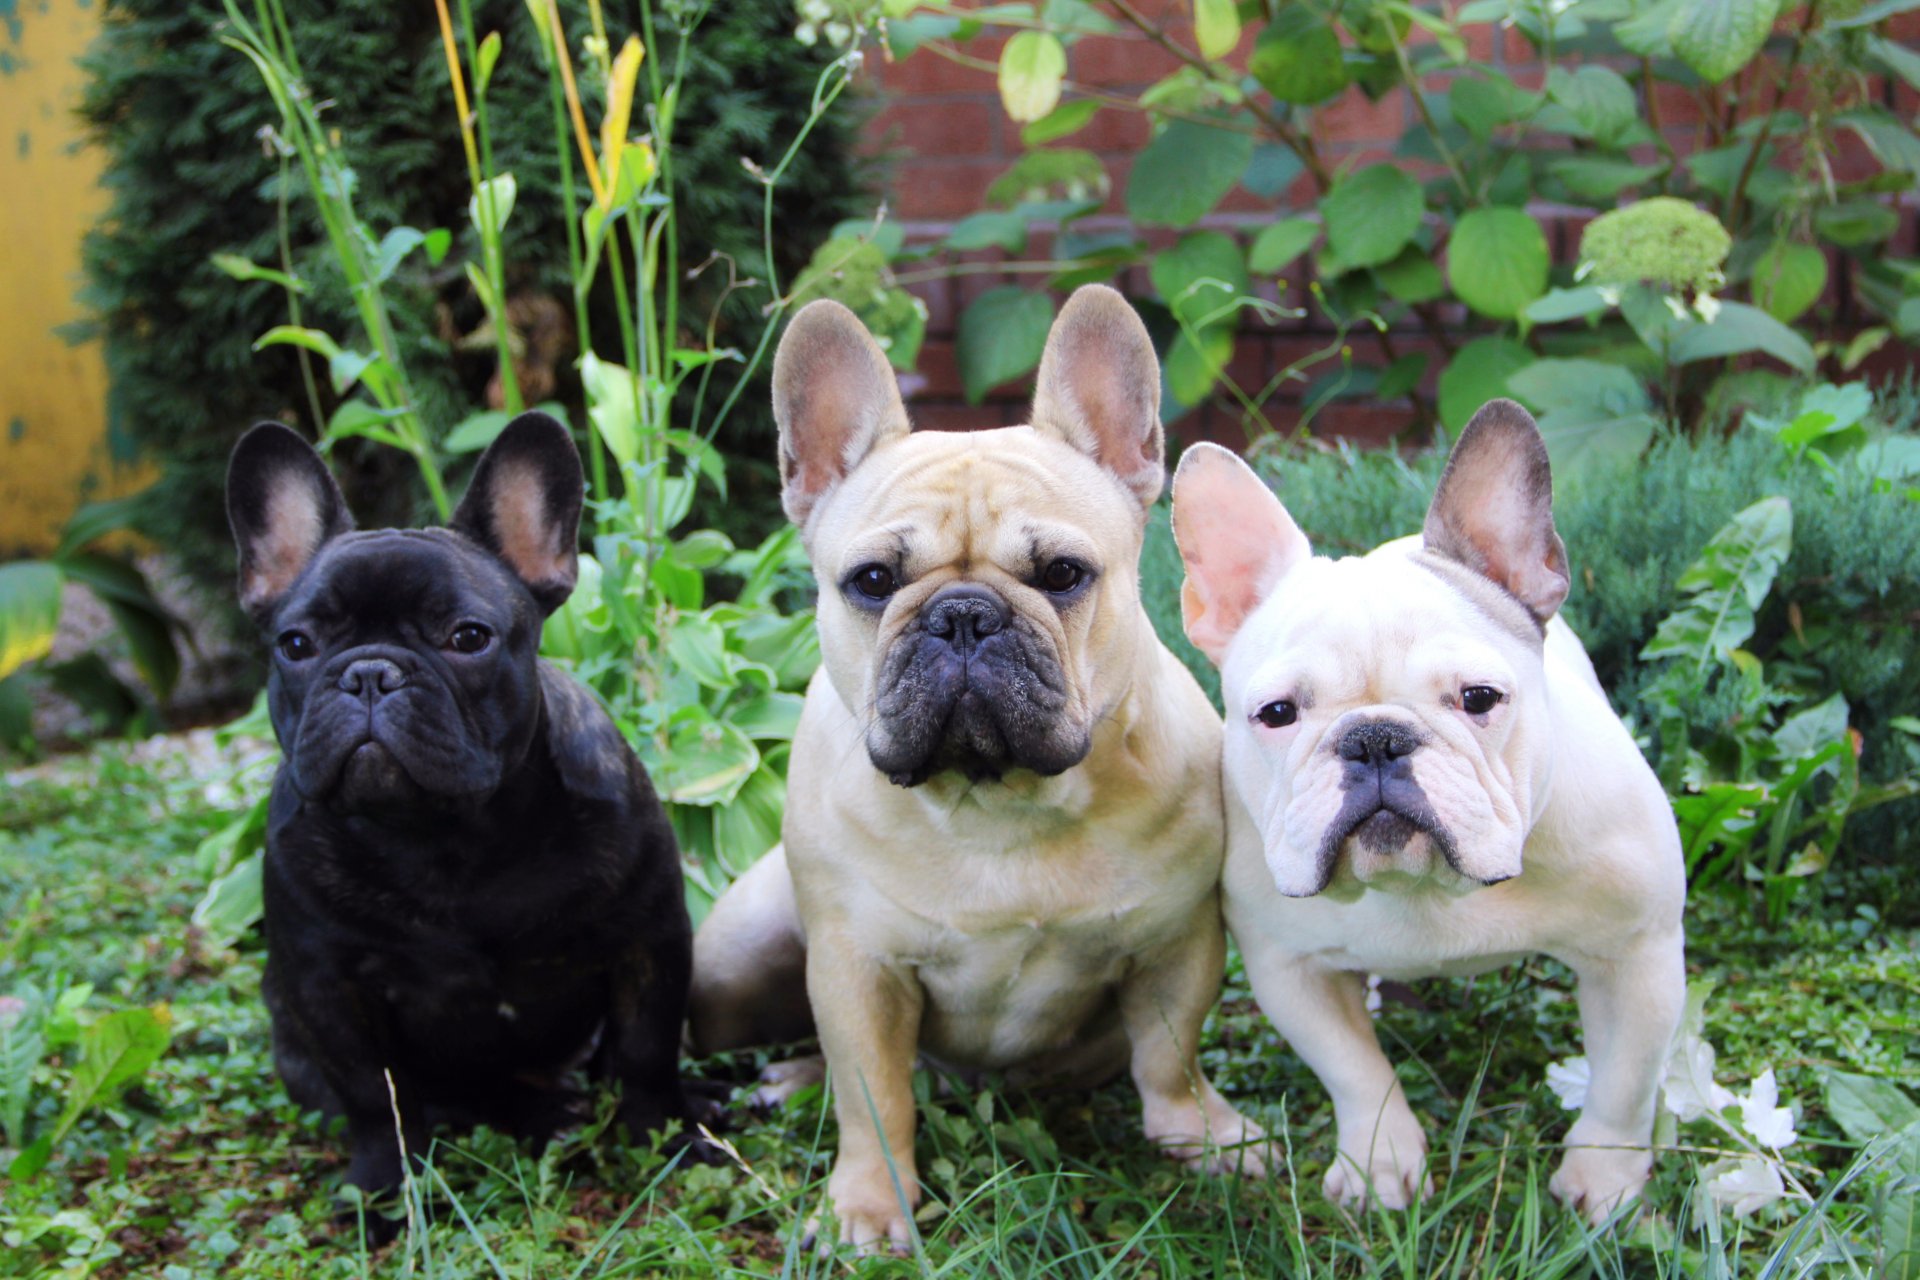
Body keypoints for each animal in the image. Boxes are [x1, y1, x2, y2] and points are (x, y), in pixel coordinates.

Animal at [224, 416, 706, 1235]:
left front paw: (665, 1141)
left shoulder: (647, 939)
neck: (447, 842)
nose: (370, 672)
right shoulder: (326, 988)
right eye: (296, 646)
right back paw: (539, 1114)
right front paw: (384, 1190)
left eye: (468, 637)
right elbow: (373, 1097)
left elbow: (647, 1050)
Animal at [683, 282, 1267, 1251]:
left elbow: (1170, 1053)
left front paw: (1202, 1137)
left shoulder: (1176, 944)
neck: (998, 800)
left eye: (1064, 574)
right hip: (735, 957)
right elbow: (872, 1093)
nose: (962, 614)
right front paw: (870, 1207)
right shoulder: (859, 969)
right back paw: (789, 1082)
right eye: (872, 581)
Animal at [1167, 401, 1681, 1220]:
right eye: (1276, 714)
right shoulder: (1289, 968)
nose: (1375, 738)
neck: (1425, 885)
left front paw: (1604, 1183)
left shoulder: (1638, 958)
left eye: (1479, 698)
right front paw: (1381, 1161)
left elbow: (1624, 1085)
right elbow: (1354, 1069)